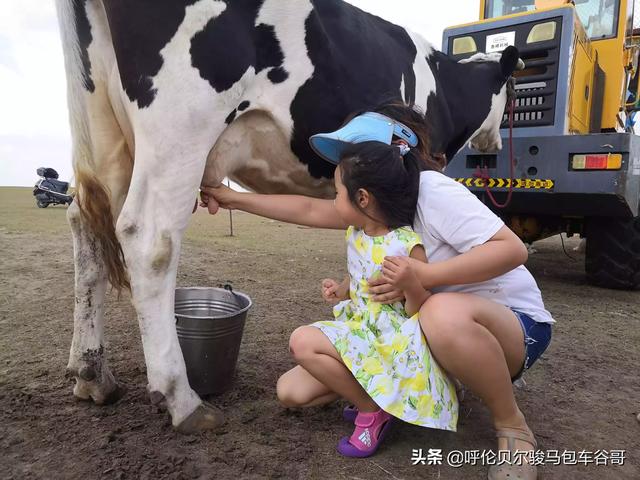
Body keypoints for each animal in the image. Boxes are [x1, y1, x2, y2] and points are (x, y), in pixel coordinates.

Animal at [57, 0, 524, 434]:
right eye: (512, 94)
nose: (495, 144)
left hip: (102, 126)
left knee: (86, 224)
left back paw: (92, 375)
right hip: (181, 120)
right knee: (149, 237)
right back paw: (182, 400)